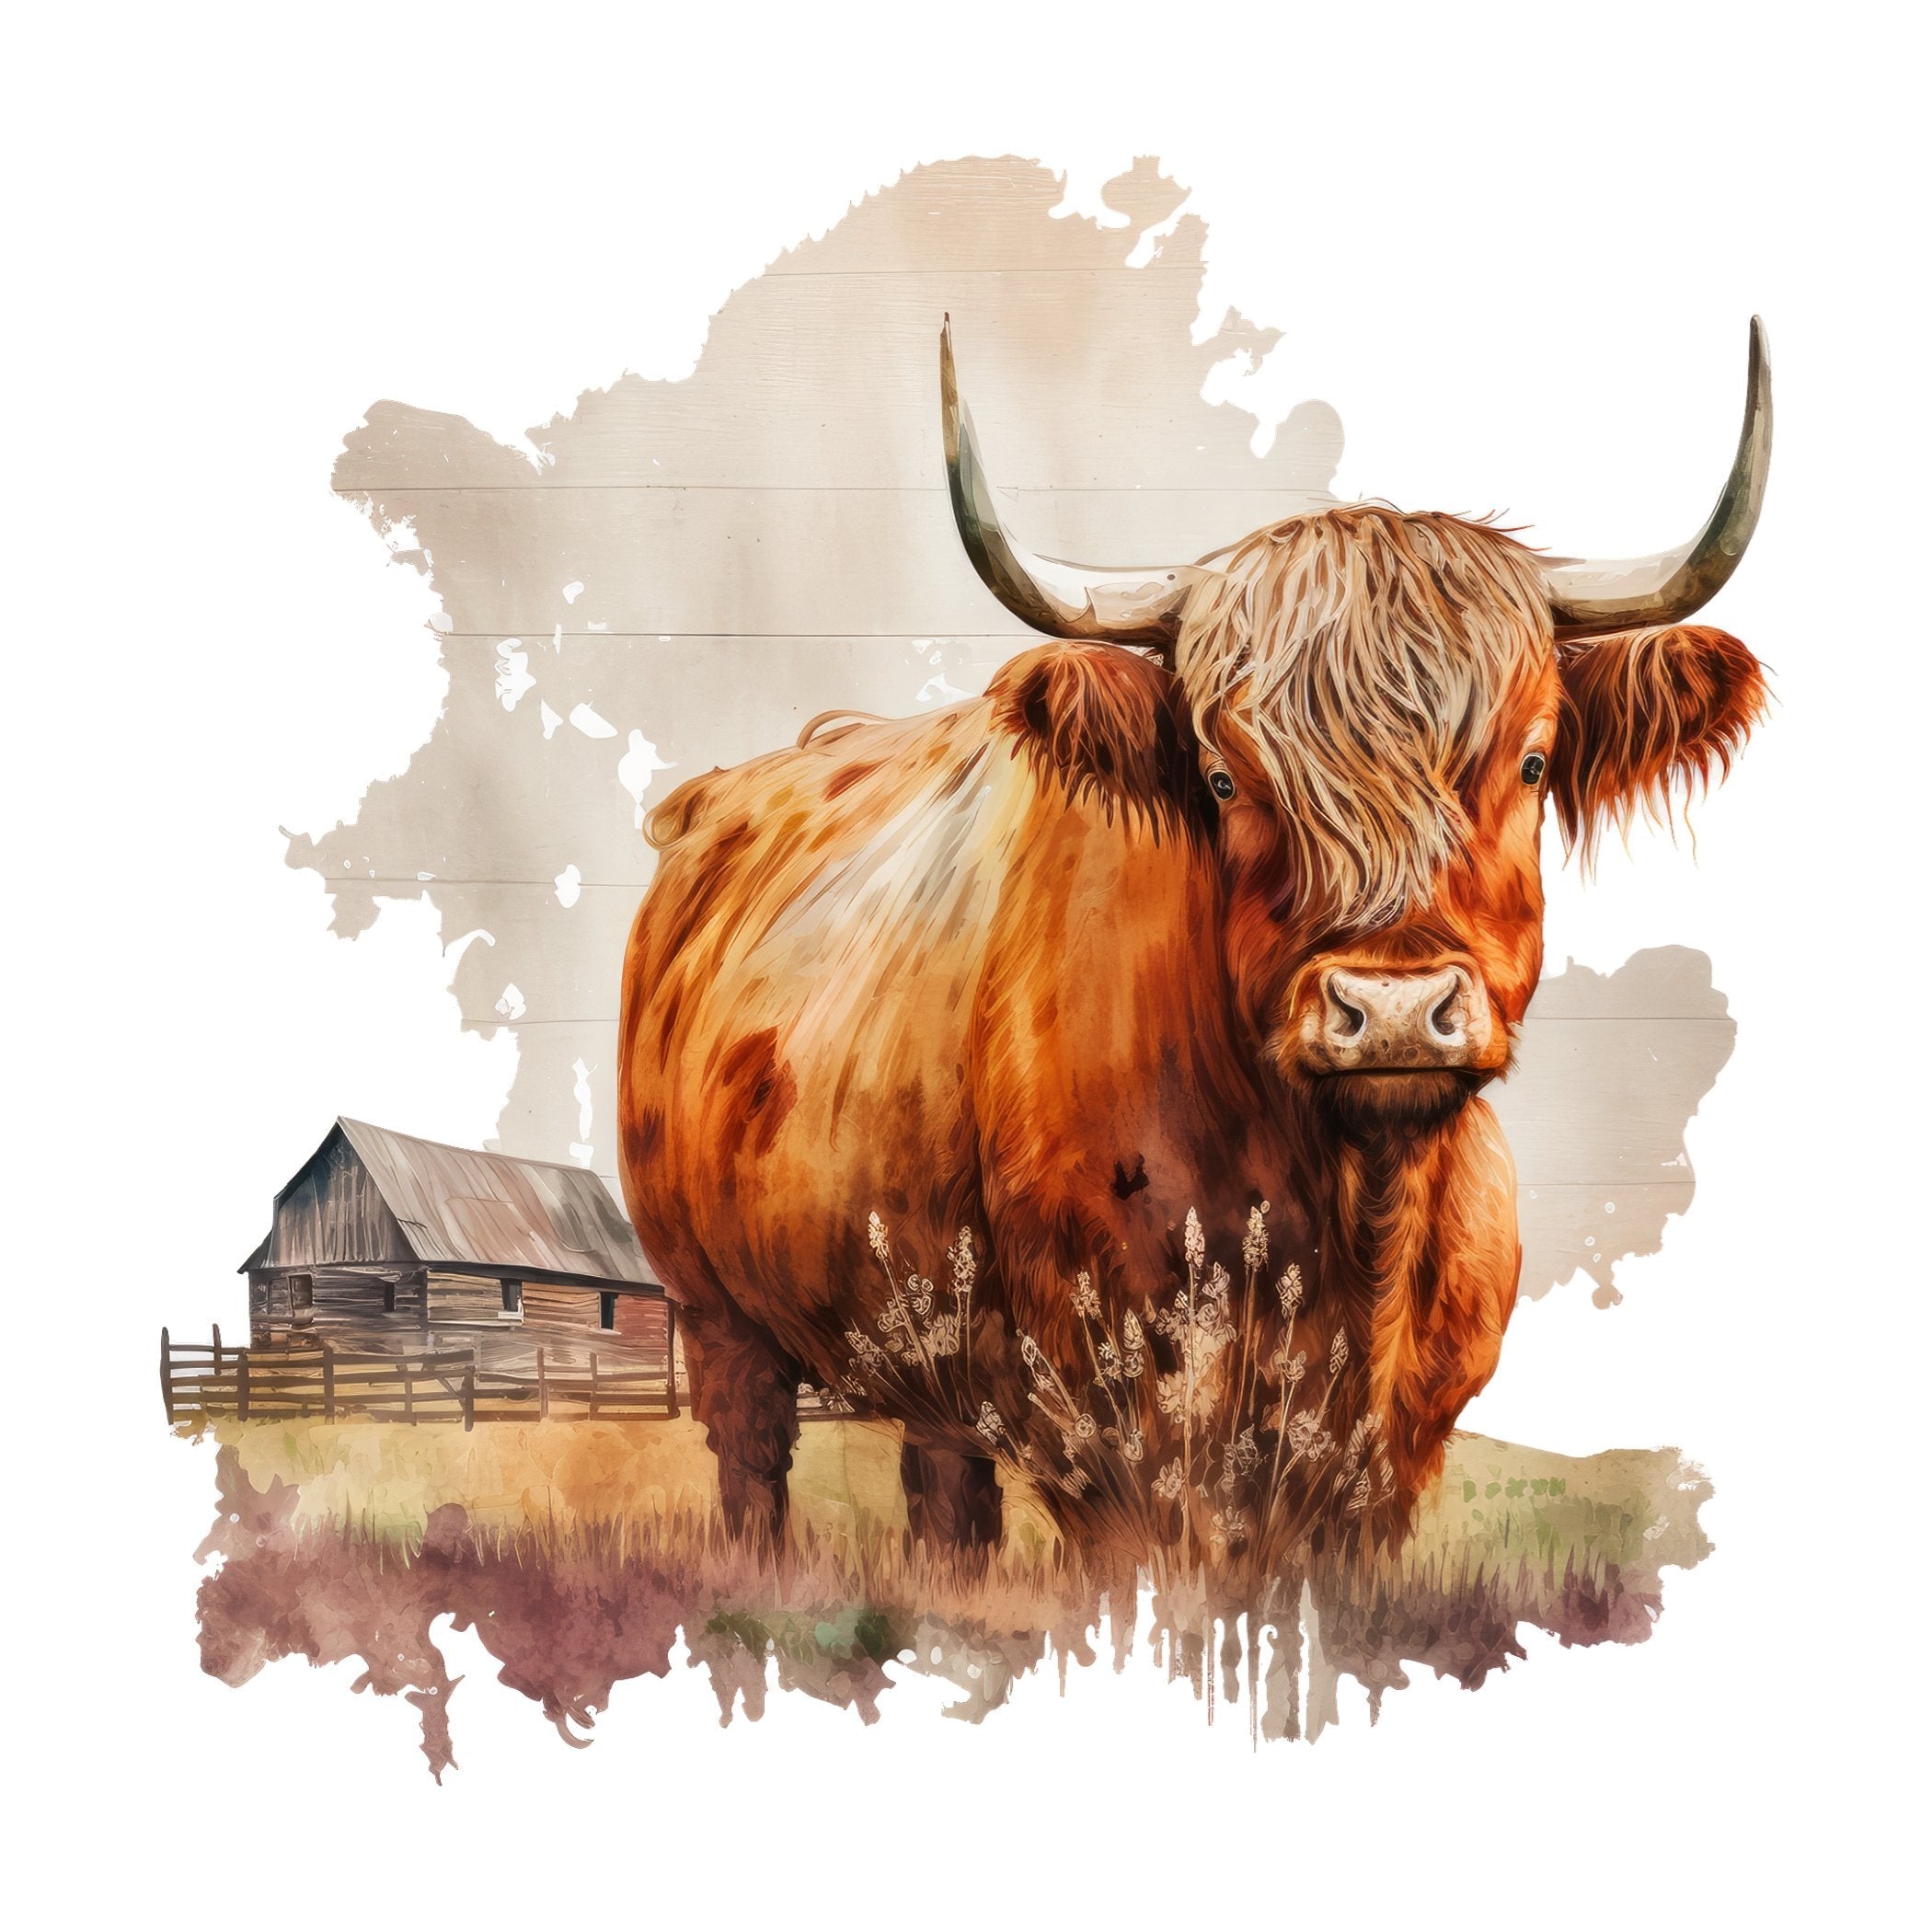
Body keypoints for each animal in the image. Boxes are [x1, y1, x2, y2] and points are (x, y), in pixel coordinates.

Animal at [618, 319, 1771, 1564]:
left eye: (1534, 759)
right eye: (1222, 778)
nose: (1394, 1013)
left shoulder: (1393, 1466)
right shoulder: (1108, 1446)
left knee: (946, 1492)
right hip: (716, 1314)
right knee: (752, 1463)